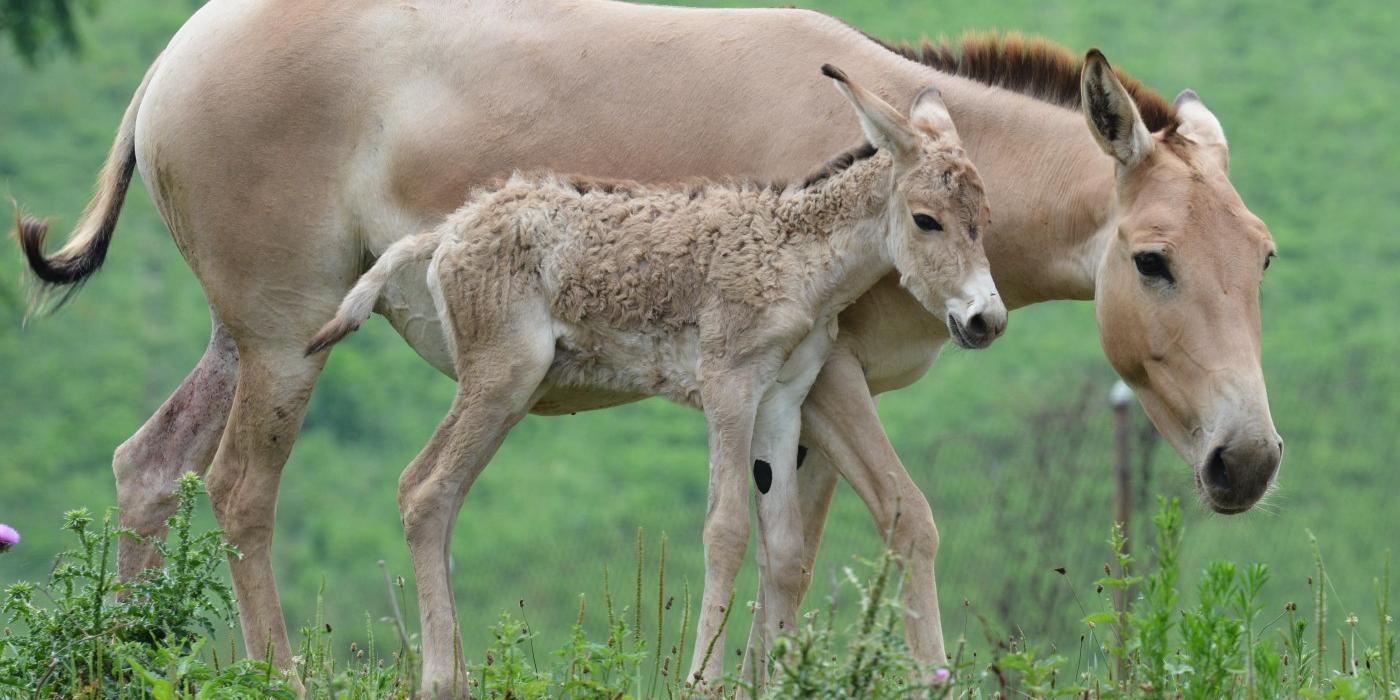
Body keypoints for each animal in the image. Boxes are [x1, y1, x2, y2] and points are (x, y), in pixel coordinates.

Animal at [310, 66, 1002, 694]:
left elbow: (785, 551)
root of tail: (448, 230)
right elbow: (726, 530)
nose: (985, 321)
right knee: (425, 492)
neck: (795, 260)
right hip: (502, 379)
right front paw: (702, 680)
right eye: (927, 220)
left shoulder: (782, 400)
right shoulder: (729, 388)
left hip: (505, 393)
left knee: (439, 493)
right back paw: (441, 681)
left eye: (985, 219)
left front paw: (781, 679)